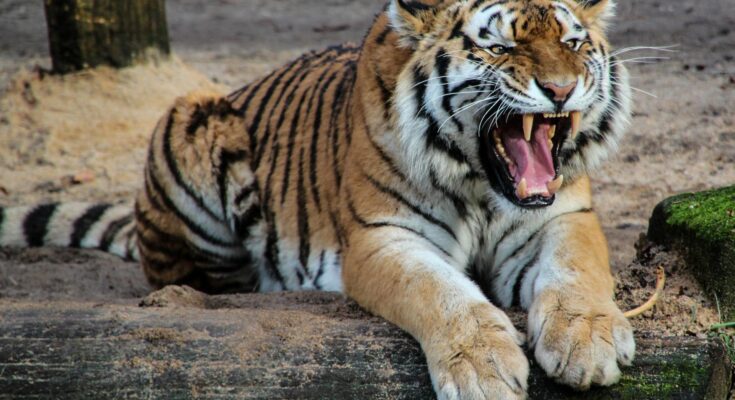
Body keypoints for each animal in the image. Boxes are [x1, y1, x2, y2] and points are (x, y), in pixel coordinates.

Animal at [0, 0, 635, 398]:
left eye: (572, 43)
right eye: (500, 47)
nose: (561, 89)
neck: (482, 185)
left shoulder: (563, 216)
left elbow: (577, 271)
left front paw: (588, 342)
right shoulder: (382, 238)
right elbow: (440, 292)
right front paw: (483, 368)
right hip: (191, 117)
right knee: (191, 277)